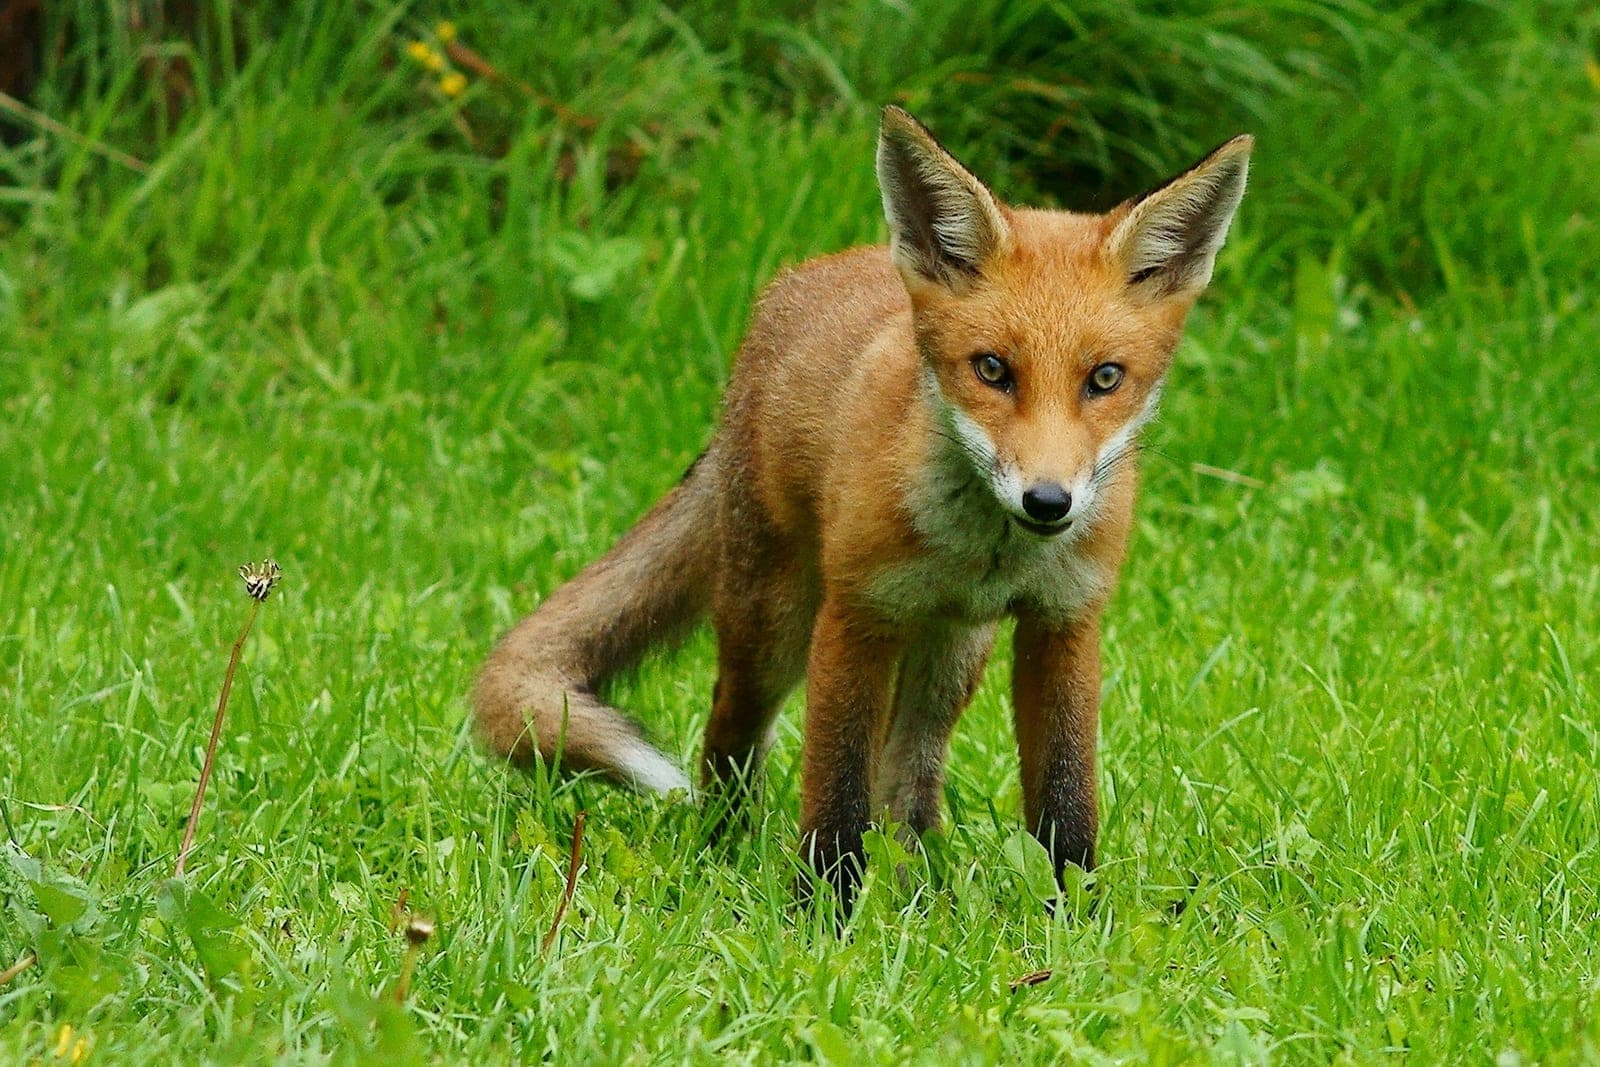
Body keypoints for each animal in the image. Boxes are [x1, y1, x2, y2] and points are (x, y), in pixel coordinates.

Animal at [475, 106, 1251, 907]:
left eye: (1104, 378)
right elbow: (836, 793)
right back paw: (723, 849)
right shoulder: (857, 615)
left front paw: (1073, 916)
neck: (984, 551)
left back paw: (916, 887)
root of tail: (807, 277)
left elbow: (1065, 801)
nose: (1047, 502)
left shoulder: (1064, 621)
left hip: (951, 656)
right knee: (732, 729)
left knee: (909, 770)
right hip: (775, 621)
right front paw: (821, 916)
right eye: (992, 370)